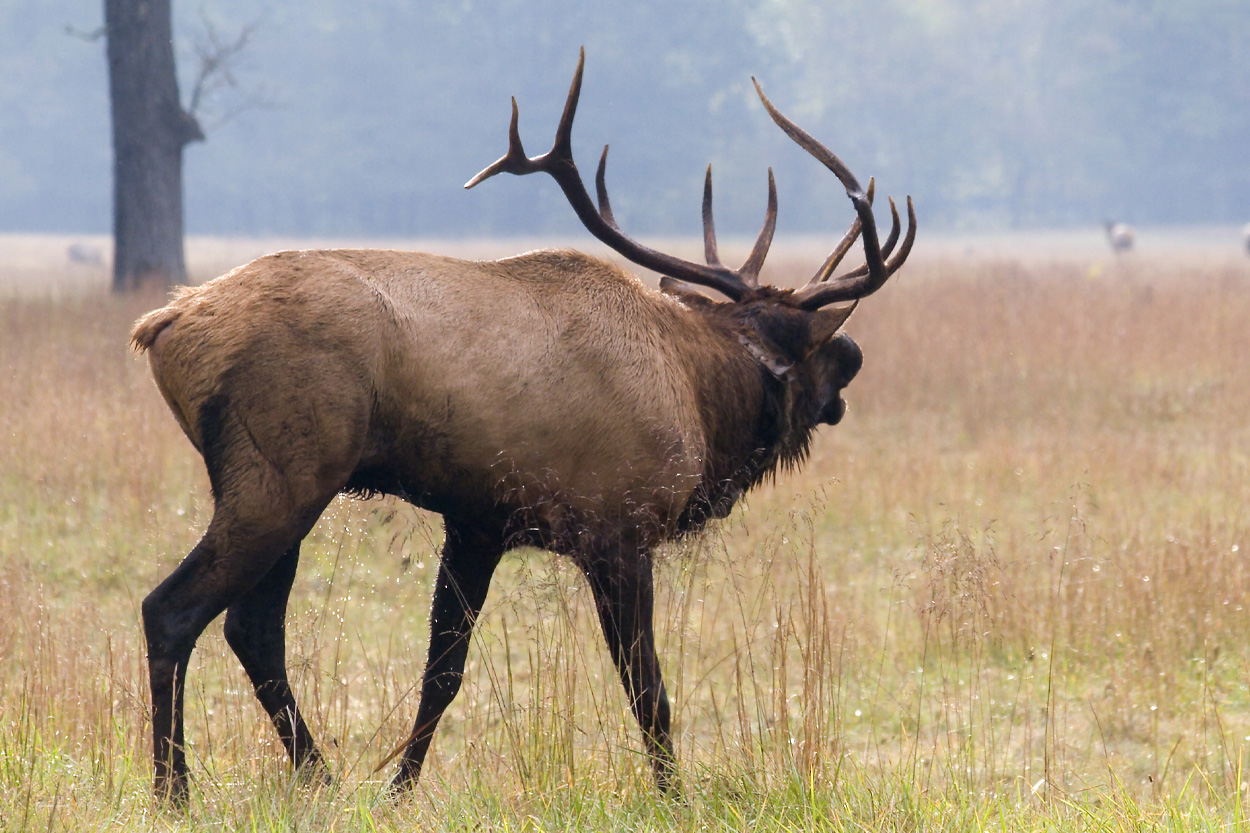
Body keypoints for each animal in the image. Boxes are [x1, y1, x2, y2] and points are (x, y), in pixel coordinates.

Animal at [130, 49, 914, 805]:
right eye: (810, 339)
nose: (854, 352)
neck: (698, 391)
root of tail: (163, 325)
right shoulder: (619, 529)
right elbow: (648, 688)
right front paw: (675, 795)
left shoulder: (478, 522)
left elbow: (442, 674)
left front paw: (398, 791)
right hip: (282, 475)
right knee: (174, 608)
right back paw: (175, 790)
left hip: (284, 484)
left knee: (252, 627)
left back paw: (320, 778)